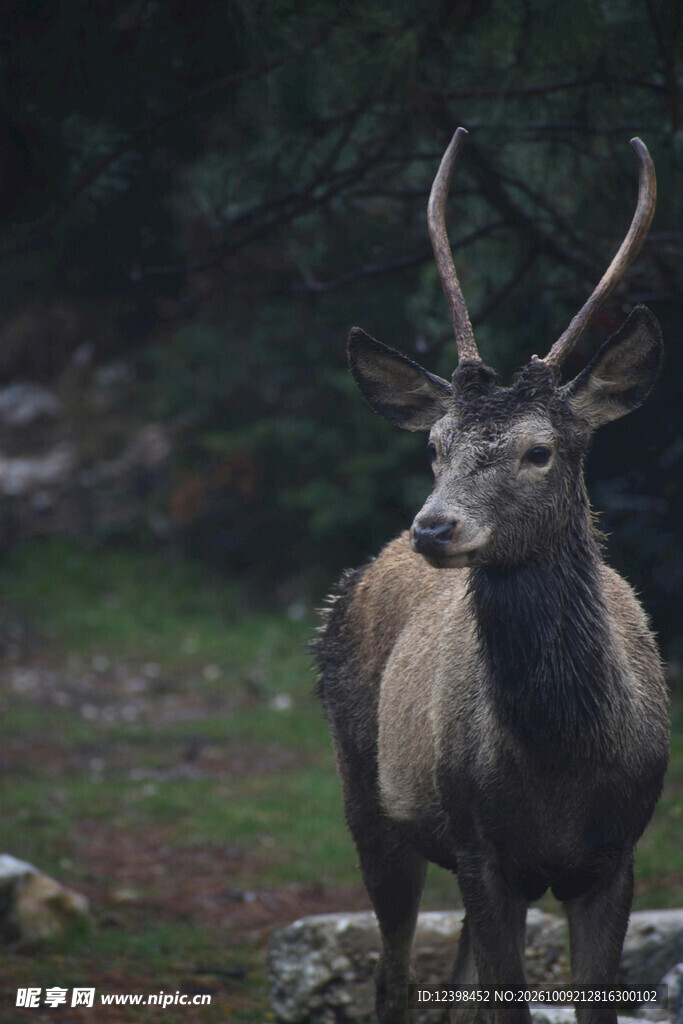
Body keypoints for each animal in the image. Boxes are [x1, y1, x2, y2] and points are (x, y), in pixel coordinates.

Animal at [315, 128, 670, 1024]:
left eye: (538, 450)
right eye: (434, 445)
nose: (433, 526)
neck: (559, 766)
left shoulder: (617, 853)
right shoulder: (480, 846)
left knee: (452, 987)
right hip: (366, 791)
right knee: (394, 977)